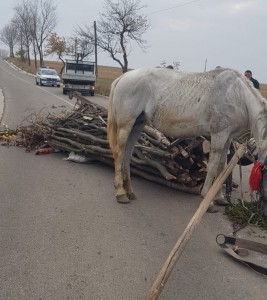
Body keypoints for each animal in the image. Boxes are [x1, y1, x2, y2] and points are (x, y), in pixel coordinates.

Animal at [108, 66, 267, 211]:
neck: (237, 94)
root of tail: (124, 76)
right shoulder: (219, 134)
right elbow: (213, 166)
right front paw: (207, 199)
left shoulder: (228, 137)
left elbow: (222, 166)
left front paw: (219, 198)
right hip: (126, 124)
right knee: (119, 153)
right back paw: (121, 193)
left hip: (138, 124)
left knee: (127, 154)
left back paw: (129, 191)